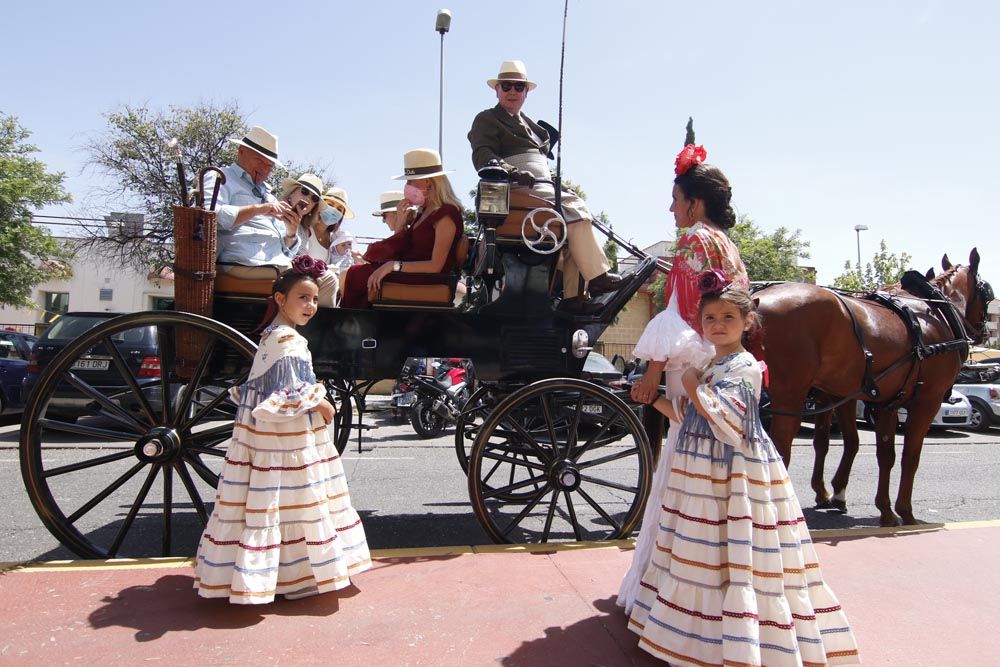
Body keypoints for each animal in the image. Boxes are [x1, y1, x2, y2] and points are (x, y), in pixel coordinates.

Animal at [756, 249, 992, 528]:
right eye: (987, 293)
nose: (983, 332)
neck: (933, 314)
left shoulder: (881, 402)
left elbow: (879, 452)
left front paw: (882, 509)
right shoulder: (927, 401)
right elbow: (910, 456)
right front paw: (906, 511)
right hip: (790, 396)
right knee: (779, 450)